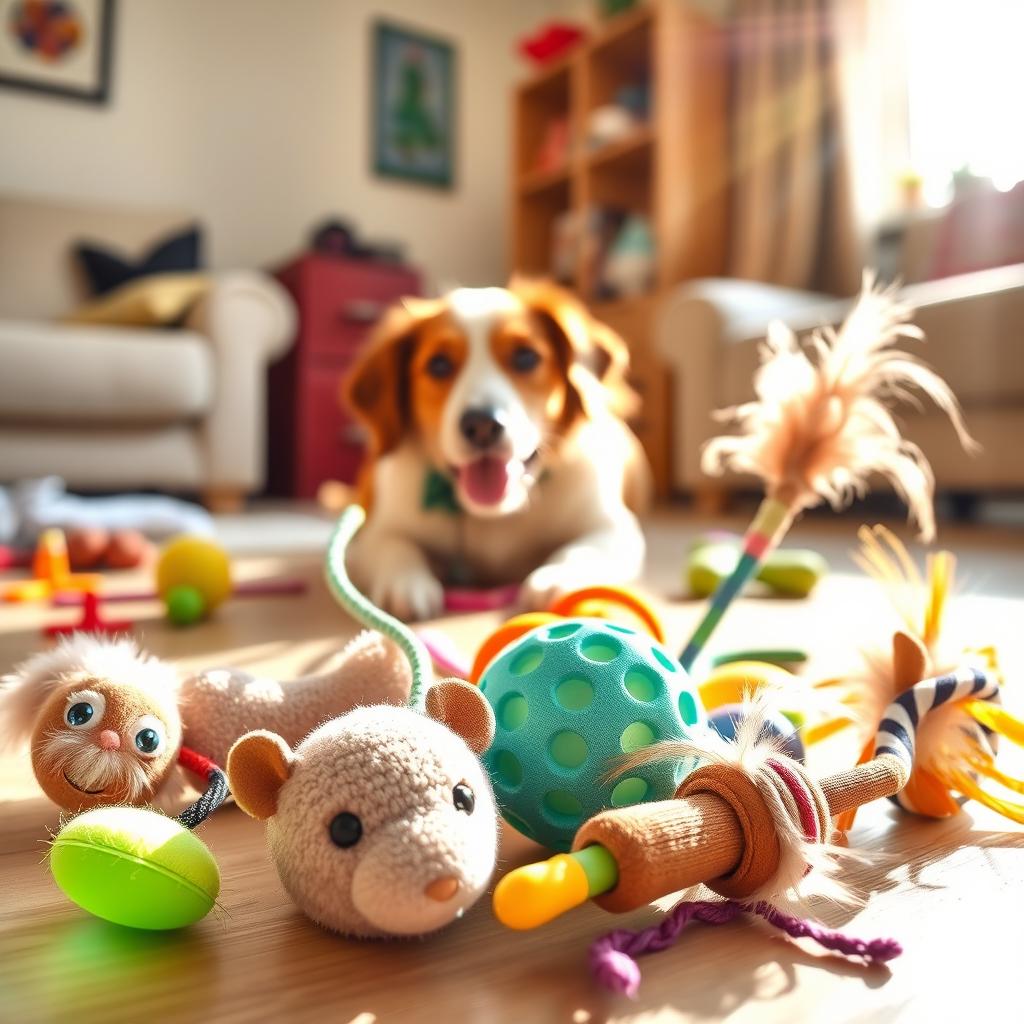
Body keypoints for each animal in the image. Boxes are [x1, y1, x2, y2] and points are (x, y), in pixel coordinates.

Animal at [344, 276, 647, 618]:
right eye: (438, 365)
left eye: (526, 357)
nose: (482, 425)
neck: (495, 516)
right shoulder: (374, 531)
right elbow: (394, 546)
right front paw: (406, 583)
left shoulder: (613, 526)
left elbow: (582, 549)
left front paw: (558, 575)